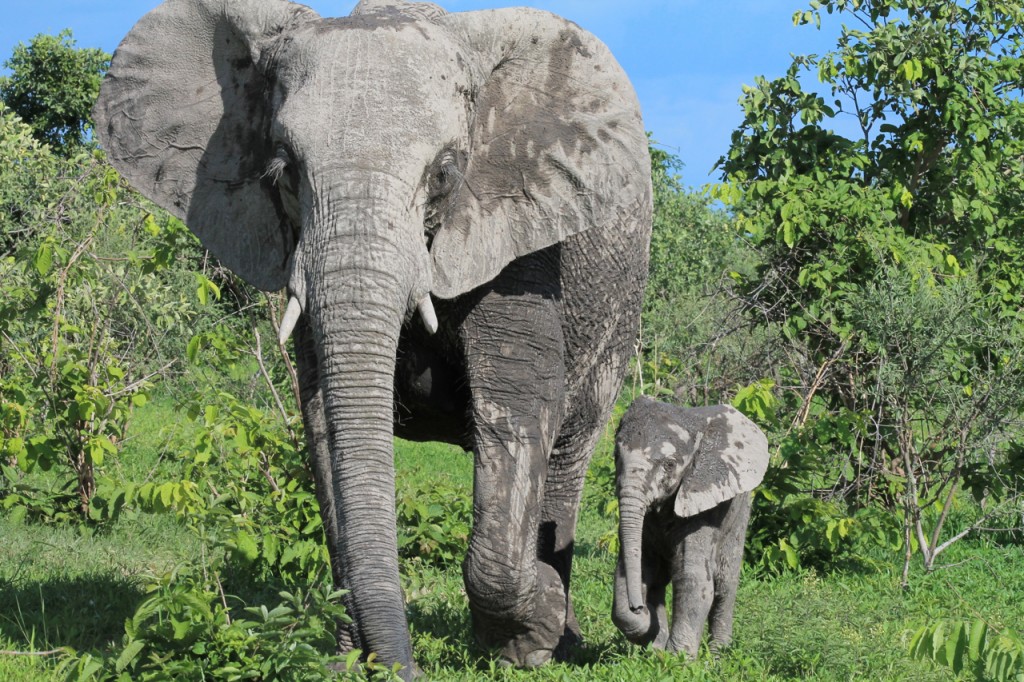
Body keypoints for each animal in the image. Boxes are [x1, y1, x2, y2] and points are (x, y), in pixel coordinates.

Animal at [99, 0, 651, 671]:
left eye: (444, 174)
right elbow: (323, 427)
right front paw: (341, 666)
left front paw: (528, 638)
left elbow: (519, 410)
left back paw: (559, 640)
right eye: (284, 171)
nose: (401, 670)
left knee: (571, 453)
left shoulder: (520, 242)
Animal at [606, 395, 770, 655]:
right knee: (658, 582)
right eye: (615, 457)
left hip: (741, 512)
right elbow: (639, 567)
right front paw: (654, 642)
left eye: (670, 465)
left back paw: (718, 655)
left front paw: (677, 659)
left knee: (726, 583)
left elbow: (692, 577)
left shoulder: (705, 506)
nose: (638, 607)